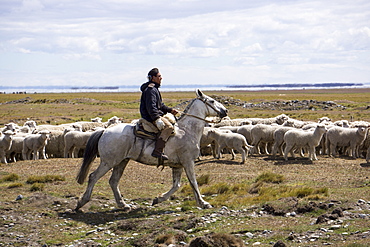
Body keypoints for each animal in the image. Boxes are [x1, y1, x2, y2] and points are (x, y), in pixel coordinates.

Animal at [75, 89, 227, 211]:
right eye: (212, 101)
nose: (225, 111)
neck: (187, 130)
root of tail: (105, 131)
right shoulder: (188, 162)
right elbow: (193, 182)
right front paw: (203, 203)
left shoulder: (177, 165)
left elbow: (176, 185)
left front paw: (158, 199)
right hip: (108, 162)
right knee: (93, 176)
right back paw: (81, 202)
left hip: (122, 161)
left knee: (113, 181)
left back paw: (123, 205)